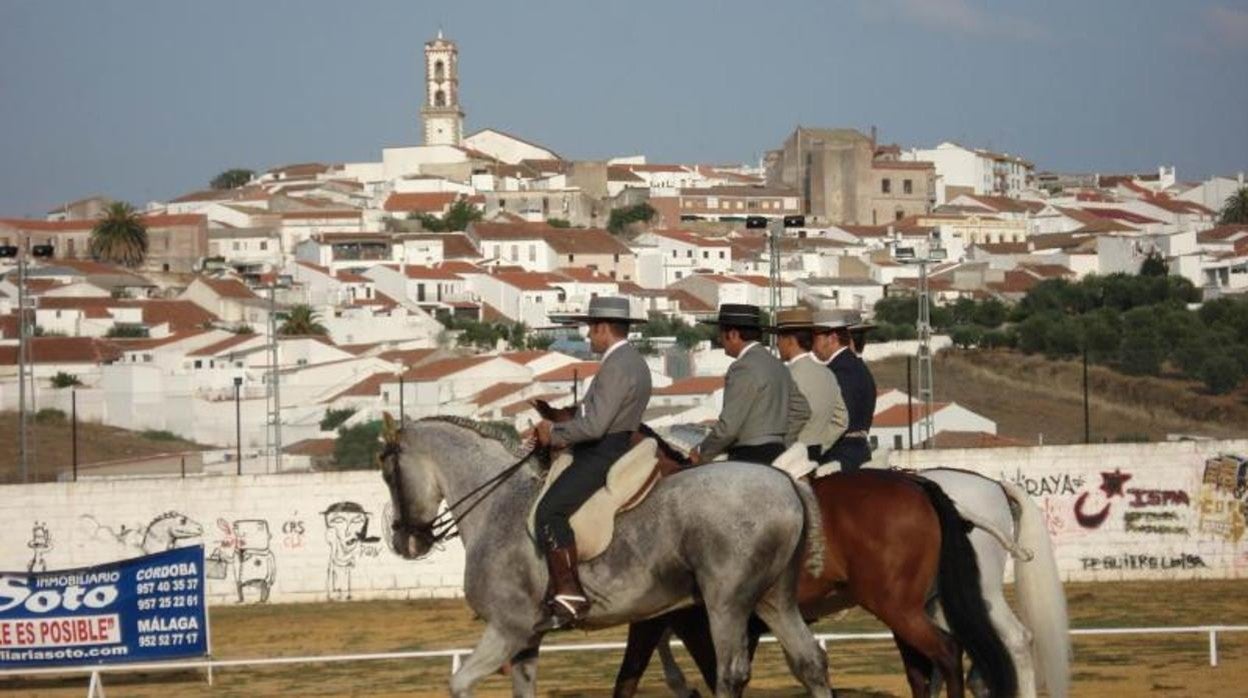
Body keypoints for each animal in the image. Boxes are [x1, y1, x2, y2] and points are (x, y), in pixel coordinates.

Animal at [376, 417, 828, 694]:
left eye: (388, 474)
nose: (405, 542)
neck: (498, 505)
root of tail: (786, 482)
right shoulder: (527, 639)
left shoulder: (508, 629)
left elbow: (459, 684)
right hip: (773, 599)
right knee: (810, 663)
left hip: (726, 603)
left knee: (731, 675)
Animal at [526, 399, 1013, 698]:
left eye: (551, 449)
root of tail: (919, 483)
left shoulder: (684, 617)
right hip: (910, 607)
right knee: (933, 667)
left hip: (901, 606)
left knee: (956, 653)